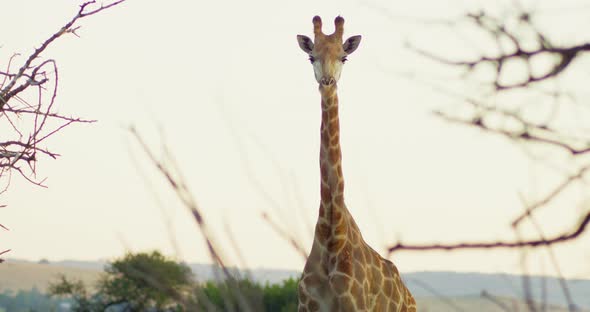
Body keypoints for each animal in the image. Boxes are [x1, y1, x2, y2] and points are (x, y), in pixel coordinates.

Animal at [296, 16, 420, 312]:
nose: (327, 81)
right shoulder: (306, 306)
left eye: (344, 57)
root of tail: (409, 297)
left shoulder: (355, 306)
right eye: (311, 56)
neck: (332, 233)